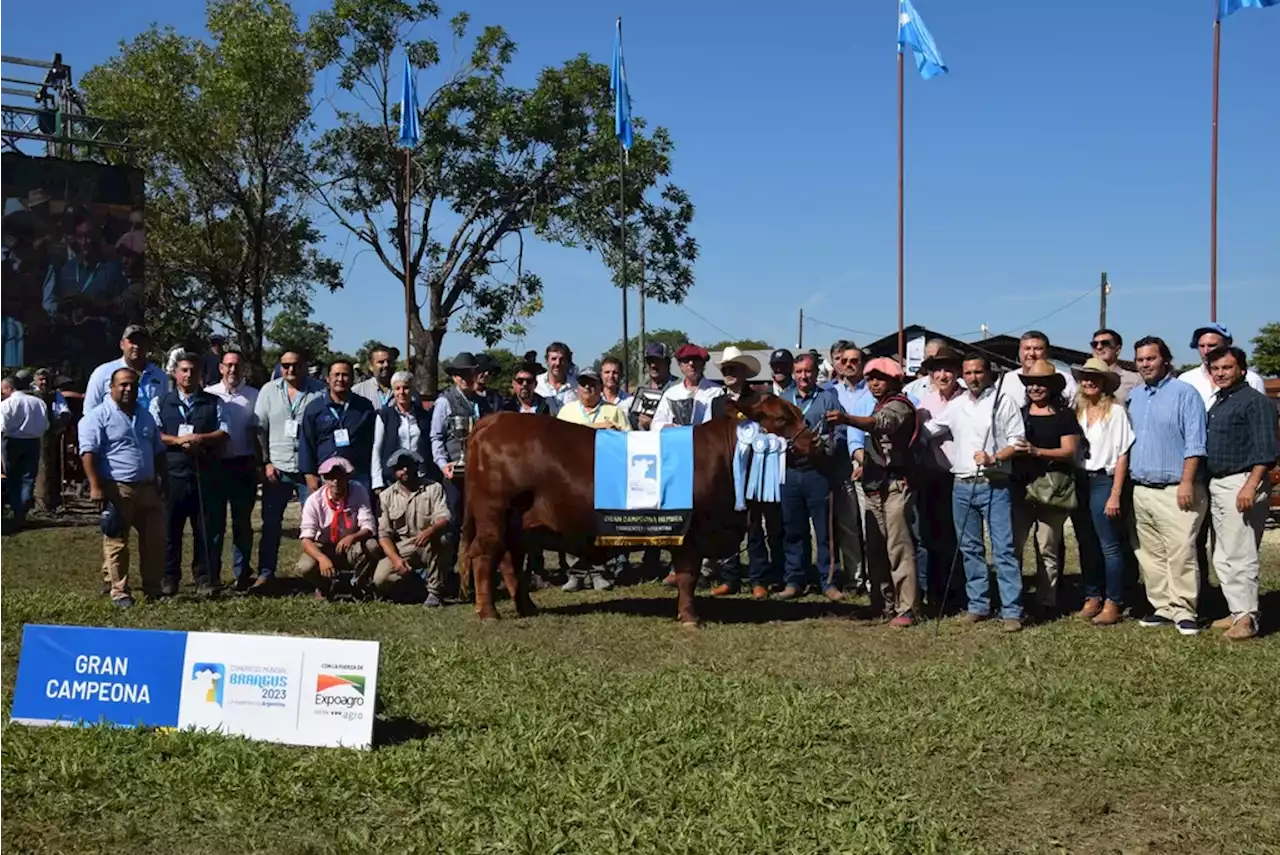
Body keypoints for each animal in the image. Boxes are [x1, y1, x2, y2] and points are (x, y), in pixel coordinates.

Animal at [463, 396, 819, 627]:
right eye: (782, 419)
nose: (814, 442)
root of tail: (494, 420)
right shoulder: (690, 532)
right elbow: (687, 576)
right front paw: (690, 618)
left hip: (517, 524)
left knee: (510, 562)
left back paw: (527, 607)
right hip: (495, 515)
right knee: (484, 558)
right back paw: (489, 613)